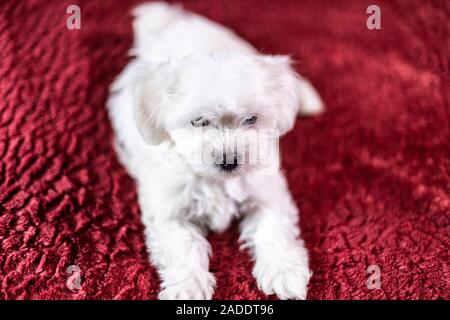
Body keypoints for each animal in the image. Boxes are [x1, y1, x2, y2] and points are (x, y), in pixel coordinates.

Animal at [107, 1, 326, 300]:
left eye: (251, 119)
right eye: (199, 121)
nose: (229, 161)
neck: (217, 182)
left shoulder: (267, 193)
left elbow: (274, 230)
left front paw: (285, 273)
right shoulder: (168, 211)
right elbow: (183, 246)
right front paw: (188, 287)